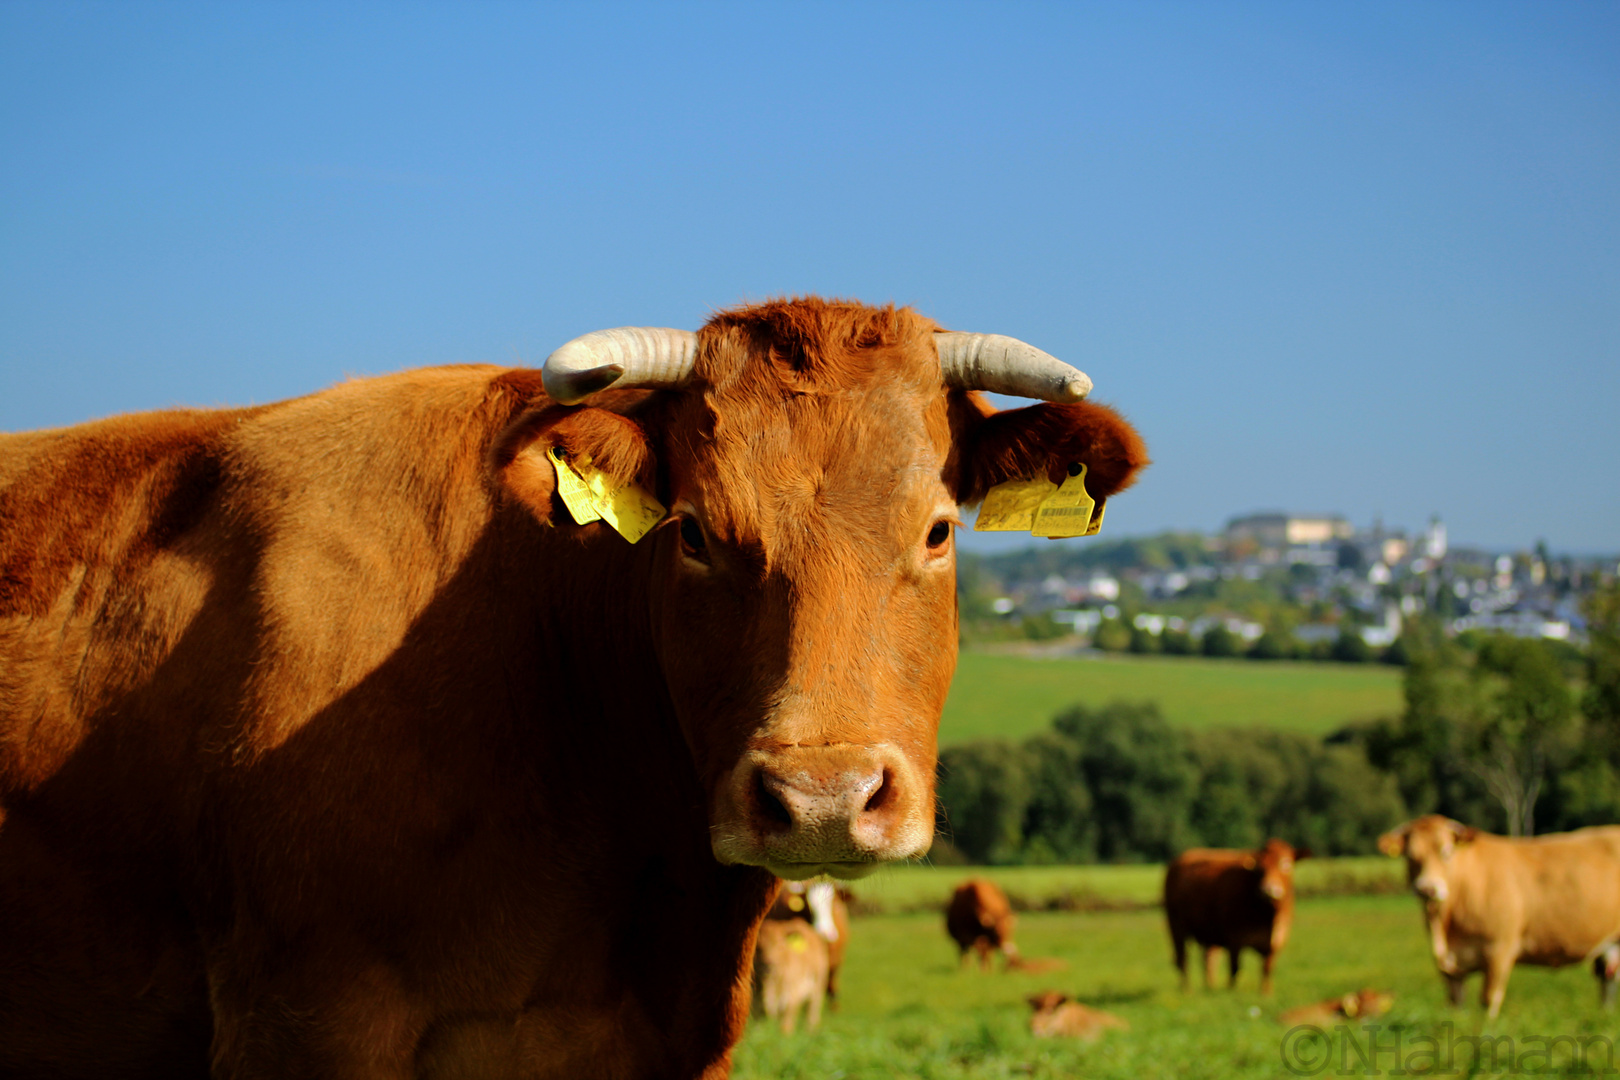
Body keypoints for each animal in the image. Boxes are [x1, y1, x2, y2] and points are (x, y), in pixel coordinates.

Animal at [1159, 835, 1308, 997]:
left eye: (1286, 864)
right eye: (1260, 869)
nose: (1268, 890)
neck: (1267, 916)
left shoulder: (1276, 942)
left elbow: (1267, 969)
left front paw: (1266, 993)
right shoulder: (1235, 939)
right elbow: (1235, 968)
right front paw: (1232, 992)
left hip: (1209, 933)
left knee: (1208, 960)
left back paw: (1210, 987)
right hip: (1176, 926)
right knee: (1183, 959)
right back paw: (1186, 990)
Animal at [1373, 816, 1620, 1016]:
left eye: (1447, 852)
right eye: (1410, 856)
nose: (1427, 889)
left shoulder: (1500, 950)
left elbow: (1489, 1000)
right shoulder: (1450, 968)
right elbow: (1455, 1003)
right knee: (1608, 980)